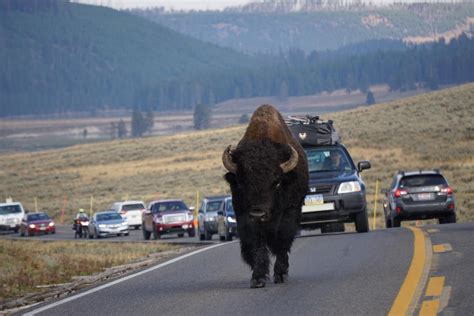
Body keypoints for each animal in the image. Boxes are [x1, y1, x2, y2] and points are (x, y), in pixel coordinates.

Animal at [221, 105, 308, 288]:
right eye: (241, 183)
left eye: (277, 183)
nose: (258, 213)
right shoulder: (244, 216)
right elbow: (256, 244)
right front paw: (258, 278)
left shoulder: (289, 212)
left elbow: (282, 240)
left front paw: (281, 274)